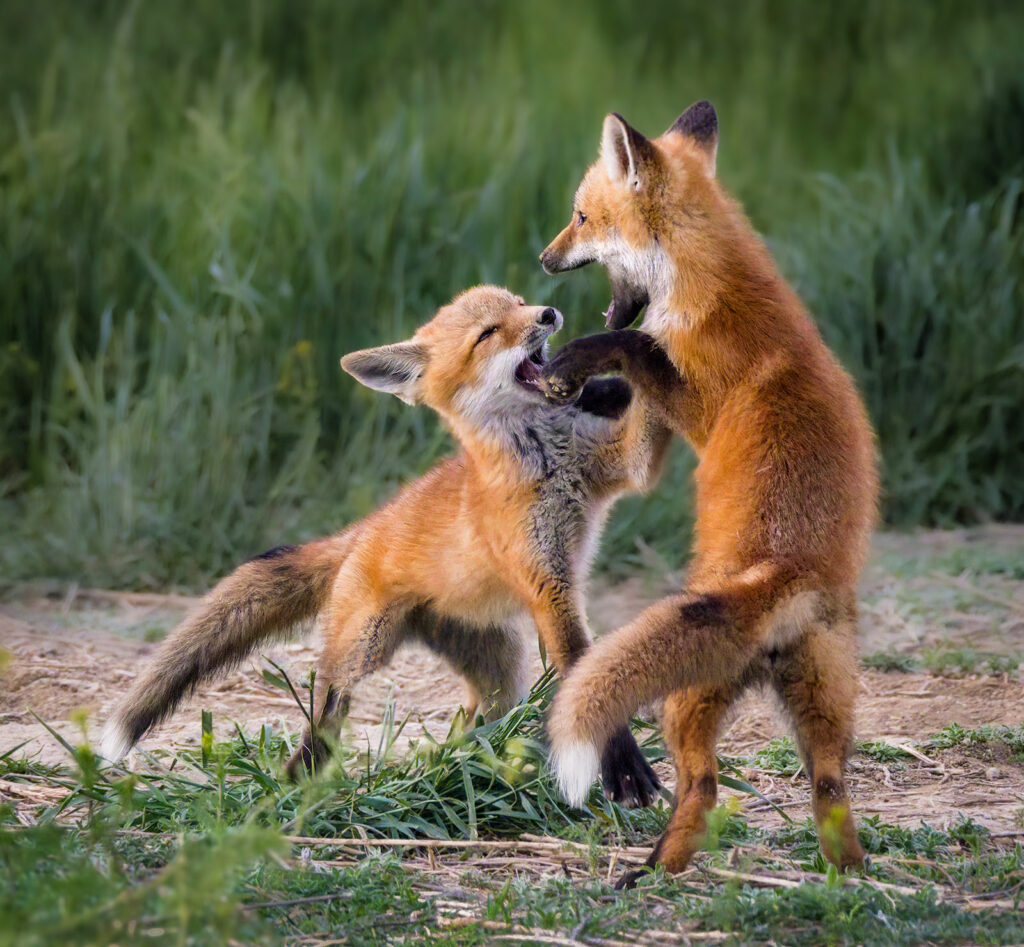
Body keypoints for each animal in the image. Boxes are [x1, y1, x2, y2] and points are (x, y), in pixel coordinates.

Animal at [100, 285, 669, 806]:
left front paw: (628, 350)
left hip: (501, 668)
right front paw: (624, 769)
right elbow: (582, 669)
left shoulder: (622, 465)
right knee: (326, 712)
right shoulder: (546, 581)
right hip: (361, 651)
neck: (547, 456)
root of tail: (364, 529)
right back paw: (303, 790)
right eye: (488, 334)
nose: (548, 314)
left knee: (477, 720)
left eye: (518, 303)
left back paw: (465, 770)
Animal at [538, 102, 879, 884]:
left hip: (685, 701)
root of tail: (783, 573)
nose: (542, 258)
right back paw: (847, 878)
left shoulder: (700, 407)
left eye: (580, 215)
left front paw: (577, 363)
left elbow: (636, 347)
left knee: (703, 785)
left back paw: (652, 868)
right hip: (828, 702)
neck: (709, 287)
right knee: (830, 789)